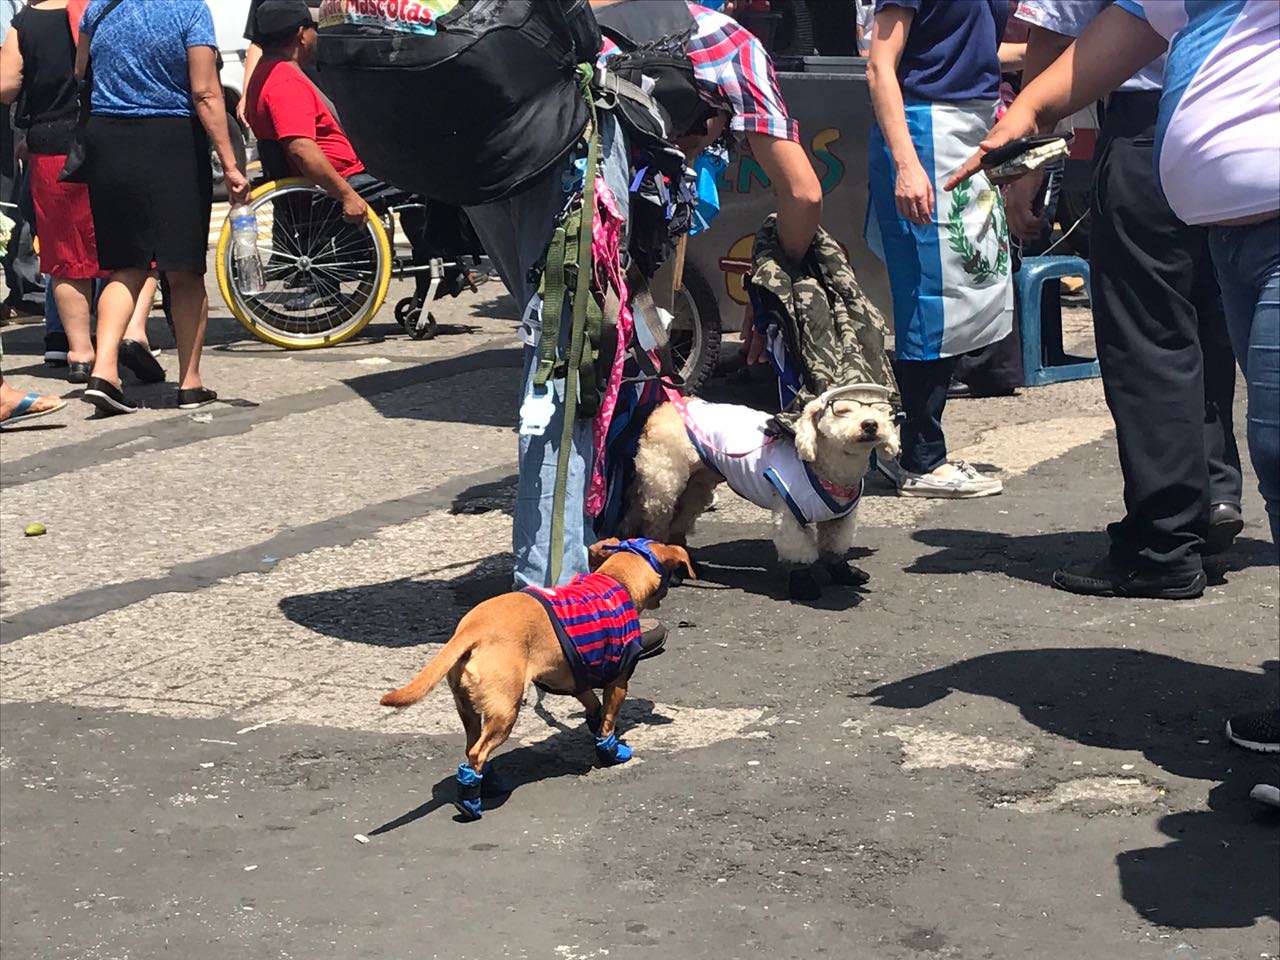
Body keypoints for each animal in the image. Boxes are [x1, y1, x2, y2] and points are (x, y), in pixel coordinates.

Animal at [376, 542, 696, 819]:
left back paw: (487, 783)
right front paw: (611, 750)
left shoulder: (574, 677)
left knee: (471, 747)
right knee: (477, 752)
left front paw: (593, 724)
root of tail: (474, 628)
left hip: (469, 709)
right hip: (506, 711)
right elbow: (607, 720)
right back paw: (471, 803)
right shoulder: (618, 682)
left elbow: (592, 706)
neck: (616, 579)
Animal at [622, 386, 901, 601]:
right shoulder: (789, 515)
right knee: (657, 523)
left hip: (697, 485)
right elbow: (798, 550)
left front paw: (843, 572)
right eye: (842, 411)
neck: (827, 469)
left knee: (680, 522)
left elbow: (835, 546)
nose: (870, 425)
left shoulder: (841, 517)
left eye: (878, 410)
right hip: (664, 481)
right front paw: (804, 585)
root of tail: (671, 404)